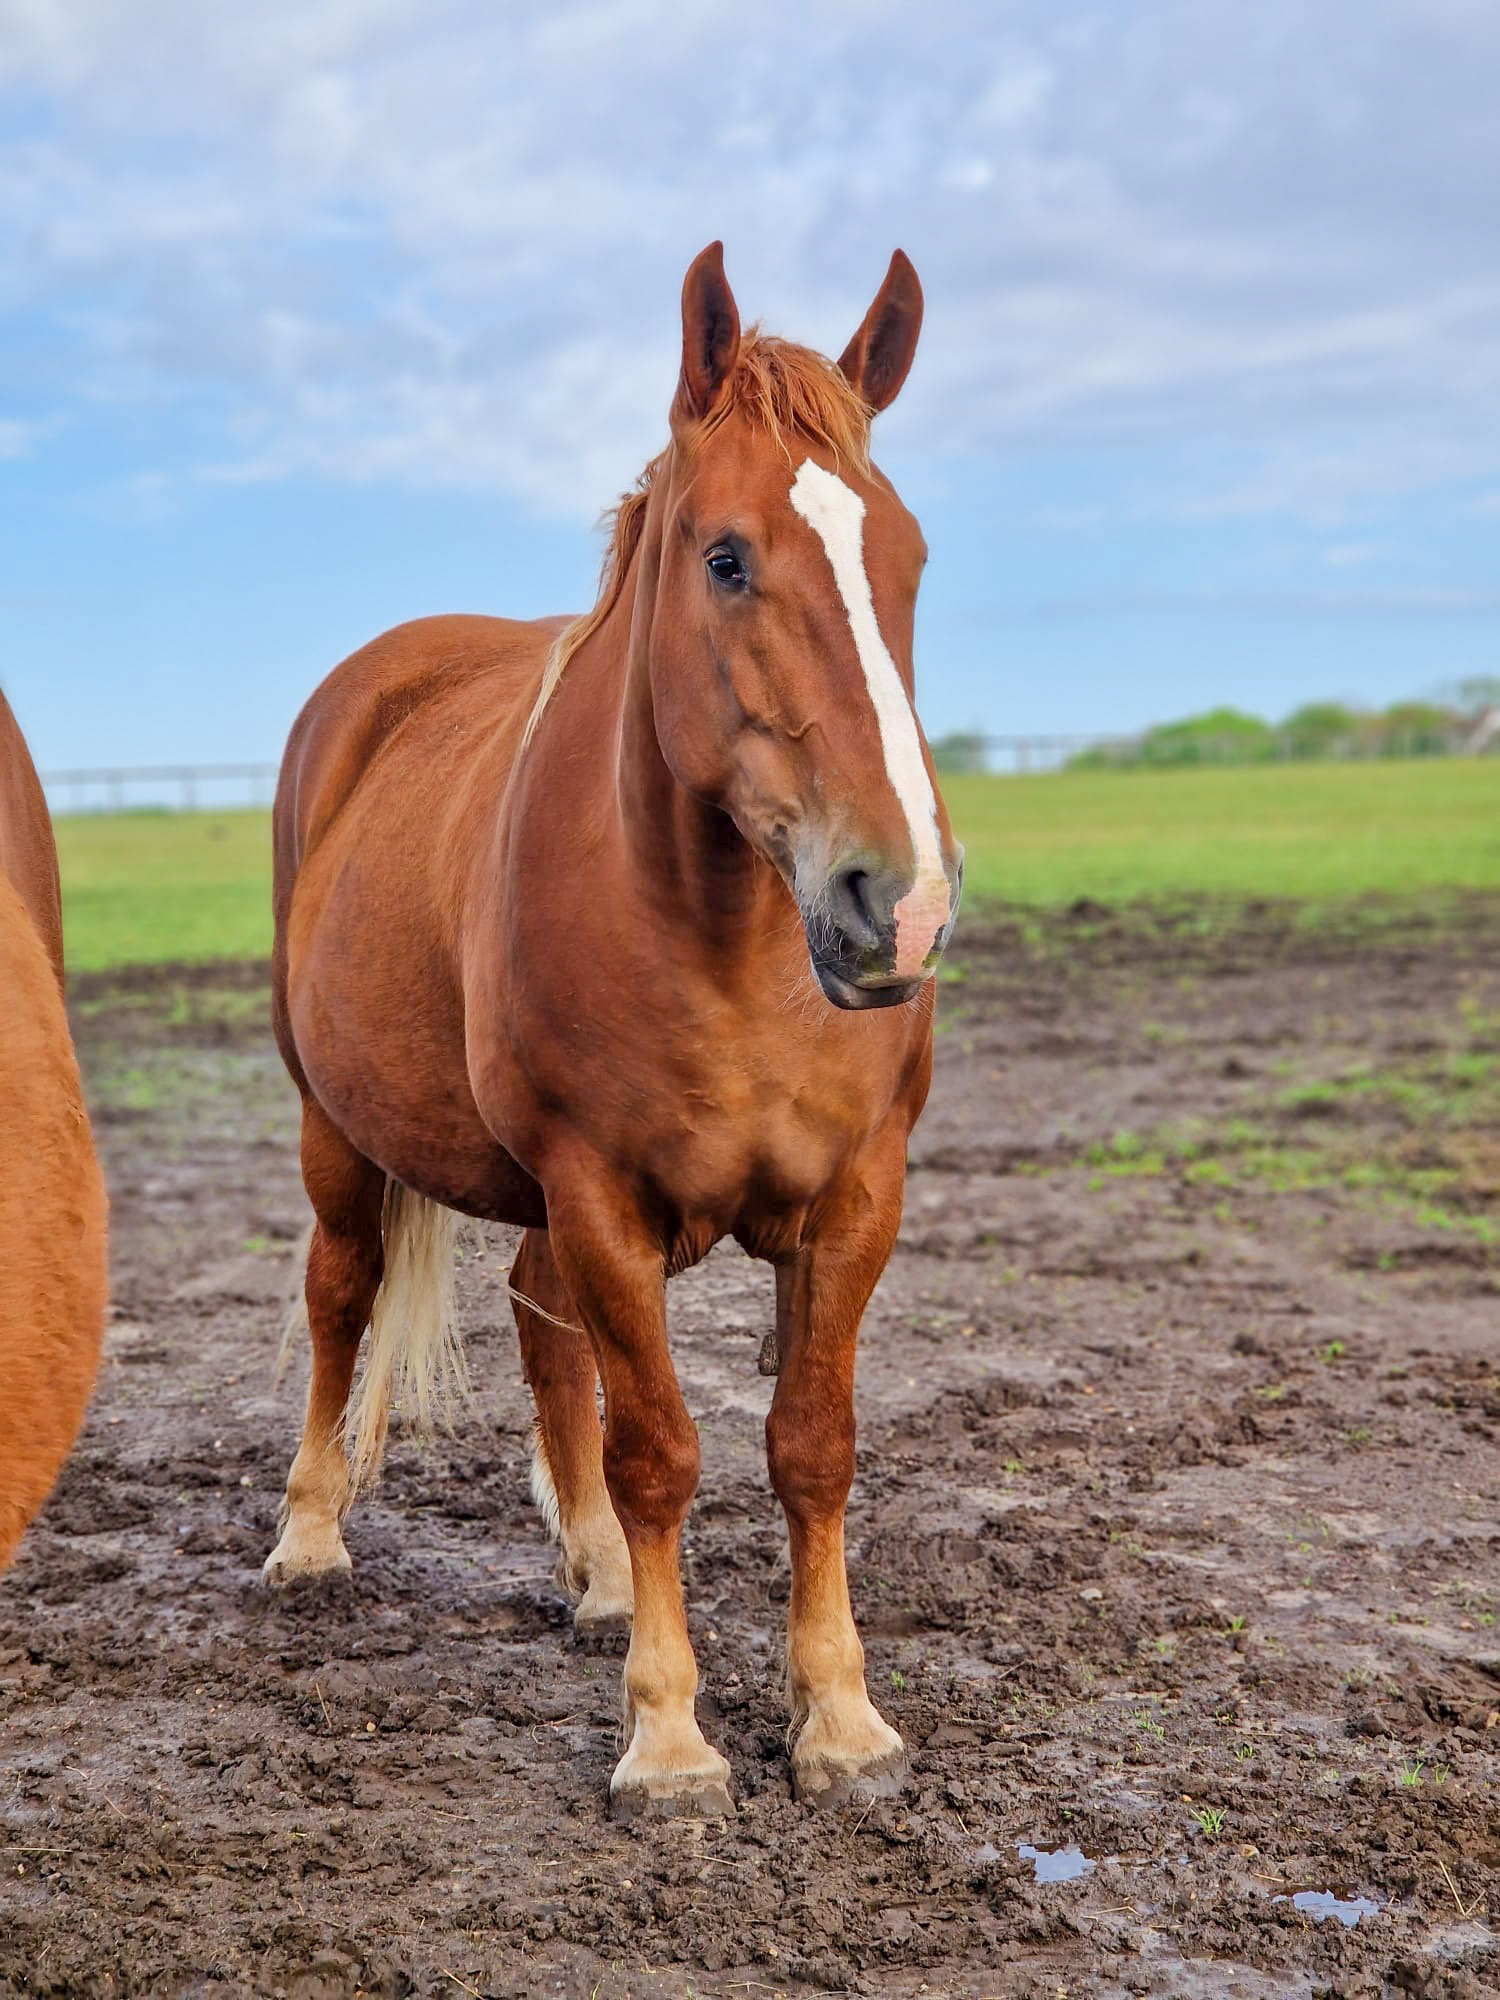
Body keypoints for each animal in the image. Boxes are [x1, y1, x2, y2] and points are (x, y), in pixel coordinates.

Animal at [265, 244, 963, 1816]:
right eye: (726, 558)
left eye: (908, 560)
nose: (895, 905)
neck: (729, 946)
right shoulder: (598, 1191)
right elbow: (657, 1450)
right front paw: (670, 1735)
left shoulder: (856, 1198)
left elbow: (810, 1445)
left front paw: (840, 1717)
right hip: (339, 1130)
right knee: (342, 1295)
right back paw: (310, 1532)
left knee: (539, 1326)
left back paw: (588, 1571)